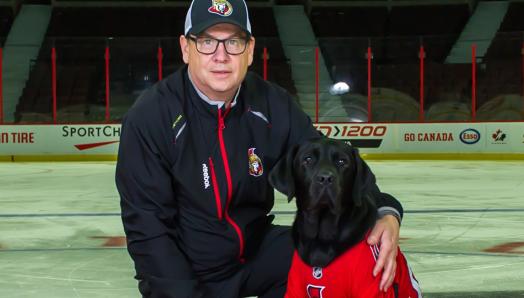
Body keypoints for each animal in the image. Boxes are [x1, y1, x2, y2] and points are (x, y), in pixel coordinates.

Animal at [268, 139, 420, 296]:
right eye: (308, 159)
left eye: (342, 161)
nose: (326, 178)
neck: (321, 239)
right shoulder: (295, 288)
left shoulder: (370, 288)